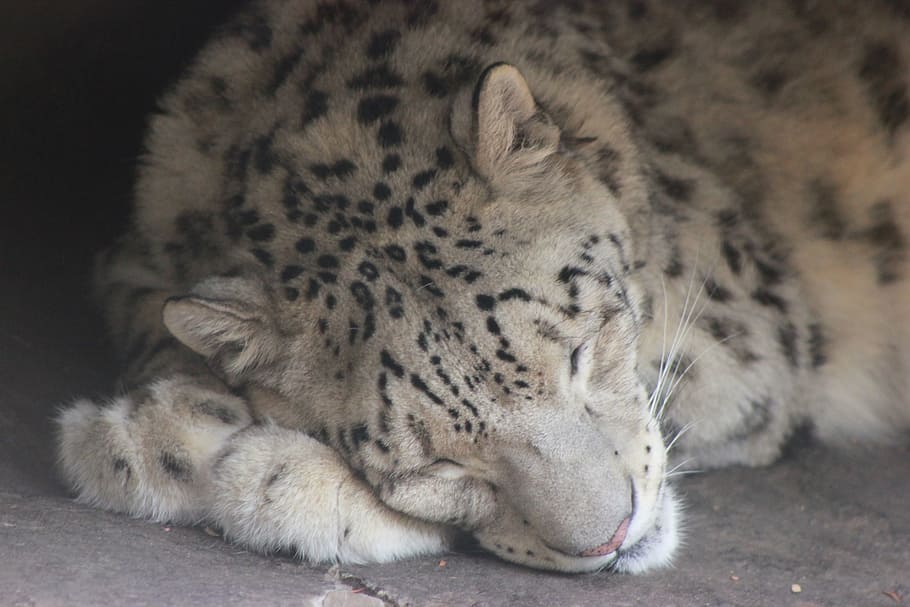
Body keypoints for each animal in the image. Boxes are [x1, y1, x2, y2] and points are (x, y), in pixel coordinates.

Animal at [55, 0, 910, 574]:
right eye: (437, 464)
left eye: (582, 349)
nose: (611, 537)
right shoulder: (136, 247)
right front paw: (158, 433)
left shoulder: (743, 348)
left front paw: (274, 475)